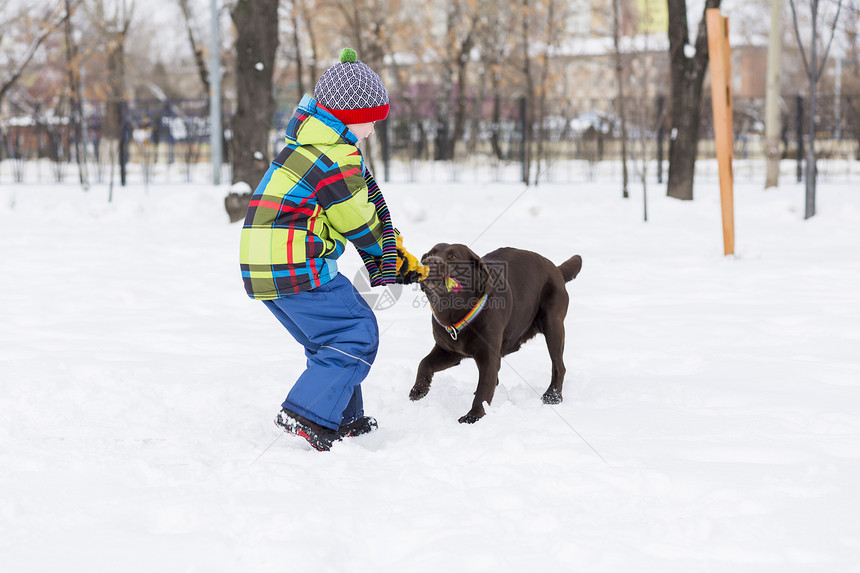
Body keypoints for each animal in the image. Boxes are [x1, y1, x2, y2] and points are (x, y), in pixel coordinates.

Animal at [412, 244, 584, 422]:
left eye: (453, 256)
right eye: (430, 254)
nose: (430, 261)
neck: (454, 313)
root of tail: (556, 269)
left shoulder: (488, 356)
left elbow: (484, 388)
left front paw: (473, 416)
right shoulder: (449, 351)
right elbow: (424, 363)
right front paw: (419, 389)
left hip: (553, 324)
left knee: (559, 366)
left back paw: (553, 396)